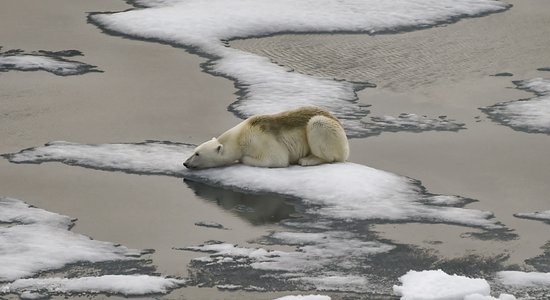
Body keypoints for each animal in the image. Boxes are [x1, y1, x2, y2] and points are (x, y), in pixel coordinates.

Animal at [184, 107, 350, 169]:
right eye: (194, 150)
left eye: (197, 154)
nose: (185, 163)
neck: (241, 135)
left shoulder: (261, 139)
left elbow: (276, 159)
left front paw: (243, 159)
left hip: (330, 130)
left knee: (318, 125)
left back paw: (308, 159)